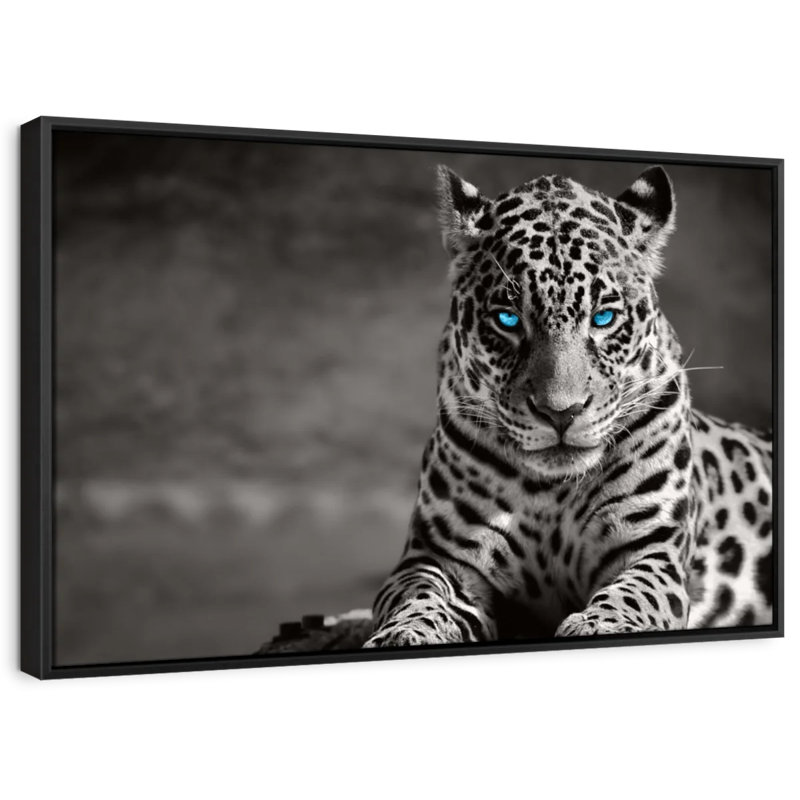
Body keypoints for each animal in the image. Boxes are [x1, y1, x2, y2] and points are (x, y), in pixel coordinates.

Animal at [363, 164, 773, 648]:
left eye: (603, 317)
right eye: (507, 319)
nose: (561, 412)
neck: (551, 493)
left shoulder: (651, 548)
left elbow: (634, 593)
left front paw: (602, 623)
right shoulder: (437, 555)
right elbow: (417, 596)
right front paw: (403, 634)